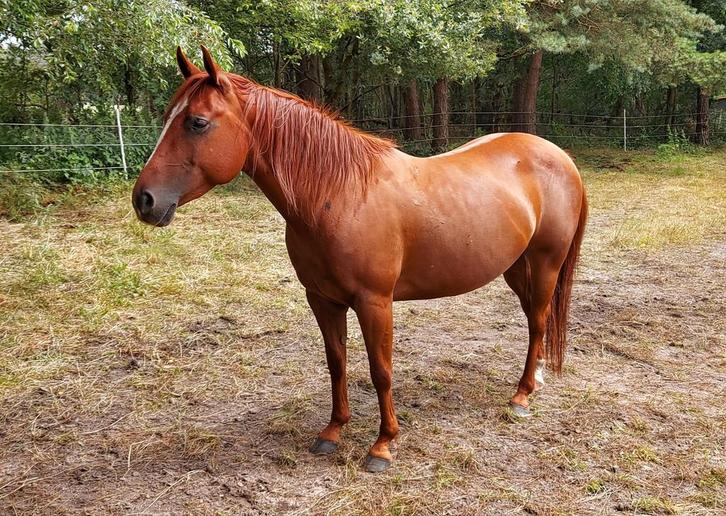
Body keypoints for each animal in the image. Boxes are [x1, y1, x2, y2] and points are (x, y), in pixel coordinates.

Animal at [132, 46, 588, 473]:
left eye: (197, 122)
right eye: (169, 117)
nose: (144, 200)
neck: (339, 195)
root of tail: (560, 157)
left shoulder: (375, 303)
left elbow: (380, 371)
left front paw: (383, 444)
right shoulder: (322, 299)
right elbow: (336, 362)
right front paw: (333, 430)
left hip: (545, 263)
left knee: (538, 320)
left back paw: (522, 395)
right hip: (515, 267)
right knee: (535, 318)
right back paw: (536, 377)